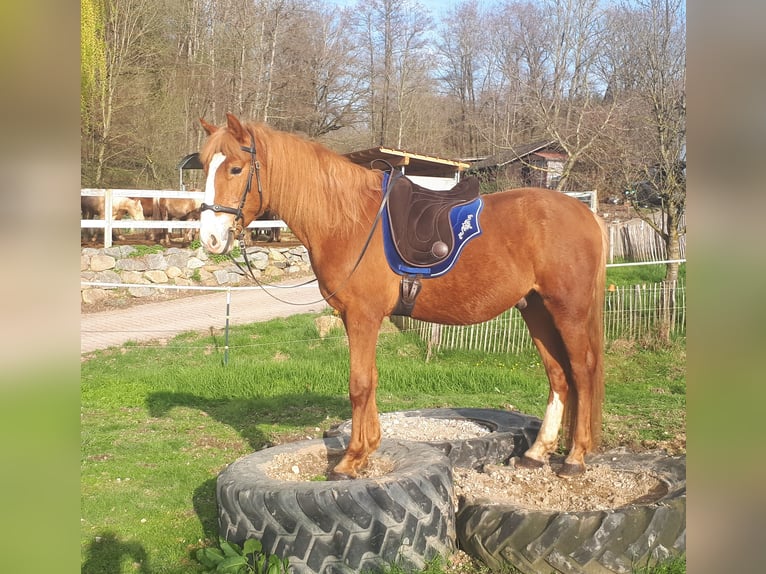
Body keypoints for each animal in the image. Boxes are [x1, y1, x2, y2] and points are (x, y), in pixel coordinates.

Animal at [201, 113, 608, 482]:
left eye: (235, 169)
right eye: (205, 167)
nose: (210, 239)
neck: (347, 220)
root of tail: (585, 213)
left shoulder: (363, 315)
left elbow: (359, 384)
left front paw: (351, 461)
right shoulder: (356, 318)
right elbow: (371, 379)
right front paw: (368, 449)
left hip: (567, 310)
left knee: (582, 371)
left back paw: (575, 458)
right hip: (535, 309)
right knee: (558, 374)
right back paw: (537, 453)